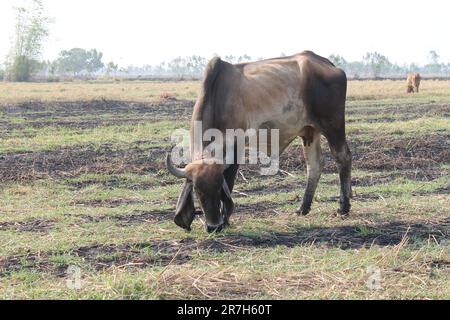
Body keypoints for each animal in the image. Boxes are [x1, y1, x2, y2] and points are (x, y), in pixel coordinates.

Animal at [165, 52, 352, 232]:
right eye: (197, 190)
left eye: (219, 188)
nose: (214, 227)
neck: (219, 97)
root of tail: (328, 64)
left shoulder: (237, 145)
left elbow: (229, 181)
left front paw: (226, 220)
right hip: (310, 132)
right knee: (314, 166)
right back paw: (302, 208)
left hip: (333, 126)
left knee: (343, 158)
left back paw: (343, 208)